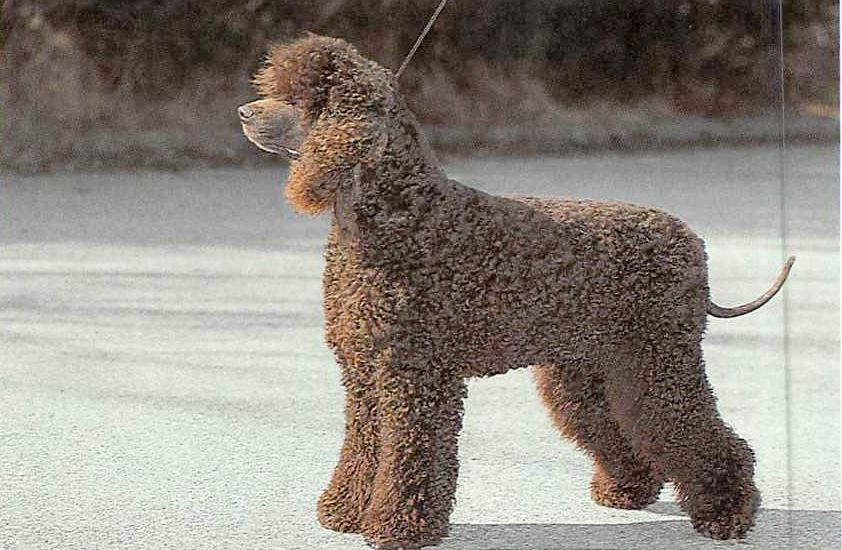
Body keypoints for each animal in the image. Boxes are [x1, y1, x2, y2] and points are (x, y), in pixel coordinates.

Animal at [238, 32, 796, 548]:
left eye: (303, 98)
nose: (243, 111)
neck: (397, 215)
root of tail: (693, 245)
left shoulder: (416, 375)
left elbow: (411, 455)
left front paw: (399, 526)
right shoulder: (364, 374)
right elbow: (364, 445)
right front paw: (345, 512)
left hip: (657, 362)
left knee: (699, 433)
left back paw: (727, 514)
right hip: (589, 370)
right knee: (619, 427)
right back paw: (627, 490)